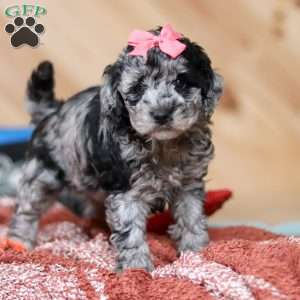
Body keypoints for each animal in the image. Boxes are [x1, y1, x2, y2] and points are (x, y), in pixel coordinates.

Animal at [1, 25, 223, 272]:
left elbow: (191, 216)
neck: (162, 143)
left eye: (181, 82)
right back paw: (20, 240)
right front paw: (136, 268)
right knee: (28, 209)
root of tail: (53, 111)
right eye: (138, 87)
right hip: (43, 173)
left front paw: (197, 252)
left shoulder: (189, 183)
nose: (162, 114)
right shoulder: (126, 190)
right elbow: (130, 231)